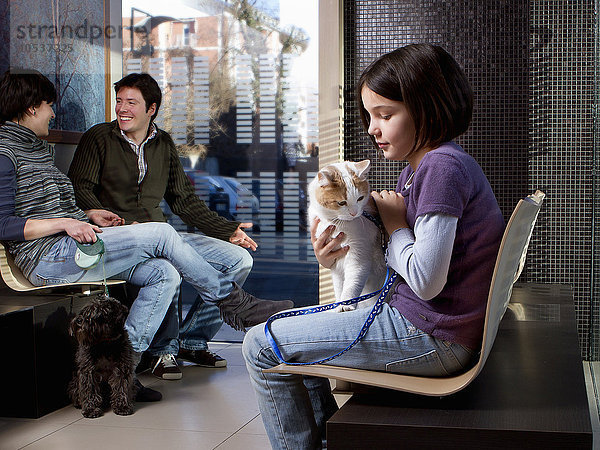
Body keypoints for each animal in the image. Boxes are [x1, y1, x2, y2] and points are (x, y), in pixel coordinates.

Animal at [308, 159, 386, 310]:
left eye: (360, 198)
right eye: (341, 202)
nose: (354, 213)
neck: (335, 222)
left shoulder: (358, 256)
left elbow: (352, 283)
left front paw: (346, 304)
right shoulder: (336, 263)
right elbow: (339, 287)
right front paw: (338, 305)